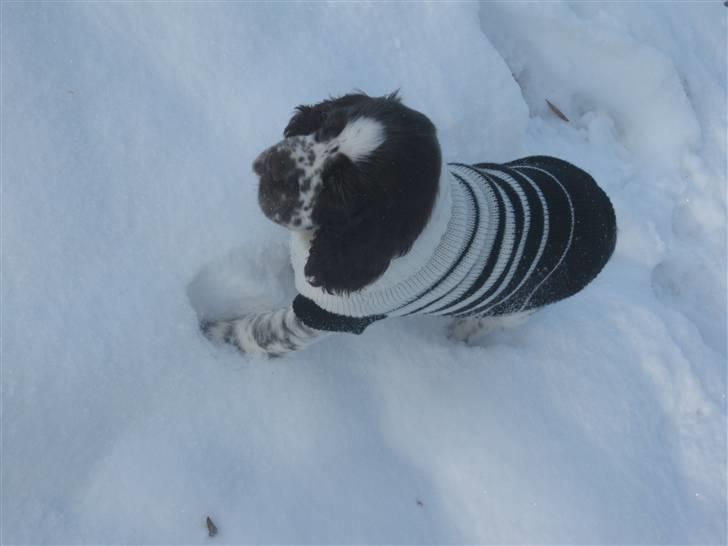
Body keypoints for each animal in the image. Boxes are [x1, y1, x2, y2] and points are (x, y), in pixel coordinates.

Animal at [202, 92, 616, 356]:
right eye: (326, 127)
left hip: (520, 308)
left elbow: (261, 333)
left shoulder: (327, 317)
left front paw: (213, 335)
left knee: (490, 323)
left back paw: (462, 333)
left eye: (343, 189)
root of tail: (606, 211)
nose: (276, 167)